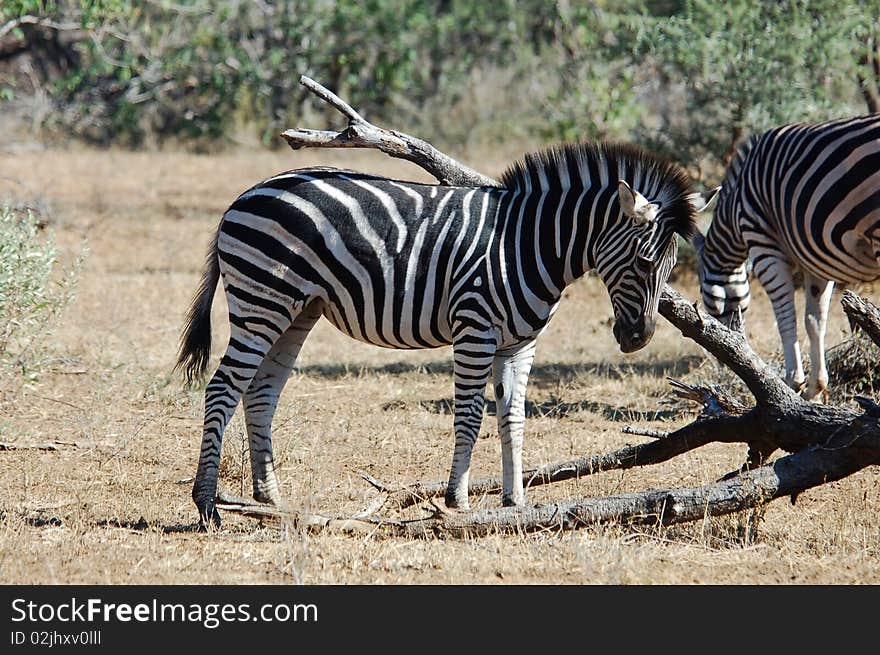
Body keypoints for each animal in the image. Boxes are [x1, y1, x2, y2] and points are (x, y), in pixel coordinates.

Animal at [175, 142, 696, 528]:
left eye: (672, 265)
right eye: (645, 262)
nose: (638, 338)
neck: (526, 244)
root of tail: (245, 195)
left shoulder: (519, 343)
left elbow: (513, 418)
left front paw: (515, 502)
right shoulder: (475, 329)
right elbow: (469, 417)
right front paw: (457, 501)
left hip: (297, 310)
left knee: (260, 393)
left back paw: (269, 499)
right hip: (262, 300)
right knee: (222, 389)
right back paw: (208, 506)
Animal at [696, 113, 880, 400]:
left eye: (706, 301)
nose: (724, 356)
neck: (735, 210)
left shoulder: (764, 247)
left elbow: (786, 319)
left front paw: (793, 383)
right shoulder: (818, 260)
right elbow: (815, 321)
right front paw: (816, 388)